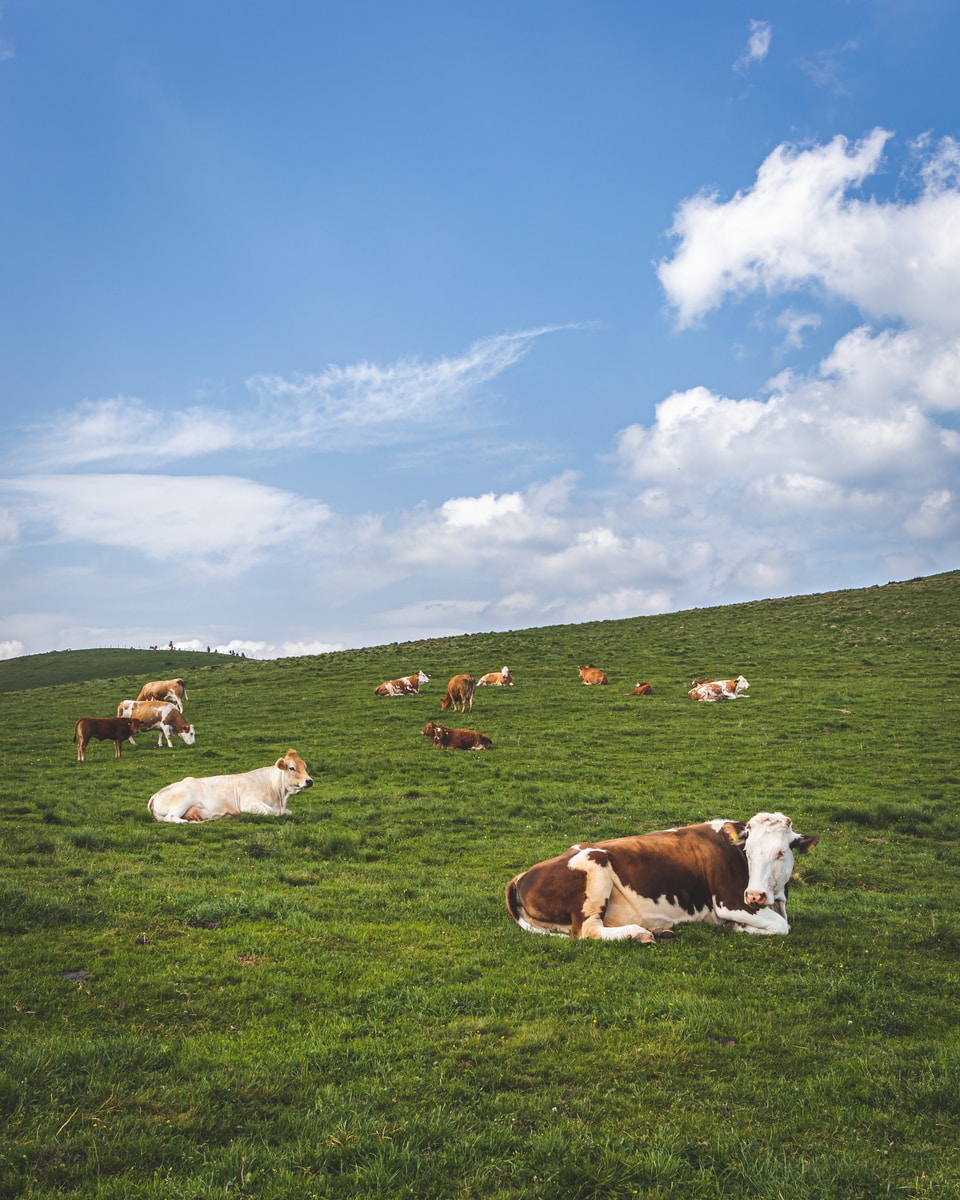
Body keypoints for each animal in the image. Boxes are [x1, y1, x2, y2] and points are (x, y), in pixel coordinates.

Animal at [146, 744, 312, 820]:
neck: (280, 797)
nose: (309, 781)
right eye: (292, 768)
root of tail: (157, 793)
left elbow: (289, 812)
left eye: (305, 766)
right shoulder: (248, 803)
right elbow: (270, 812)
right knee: (171, 818)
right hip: (182, 801)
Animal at [501, 811, 816, 940]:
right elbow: (781, 926)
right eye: (748, 850)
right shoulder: (730, 902)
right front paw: (738, 928)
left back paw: (658, 930)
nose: (754, 895)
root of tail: (522, 875)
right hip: (595, 870)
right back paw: (640, 934)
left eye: (781, 852)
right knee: (588, 930)